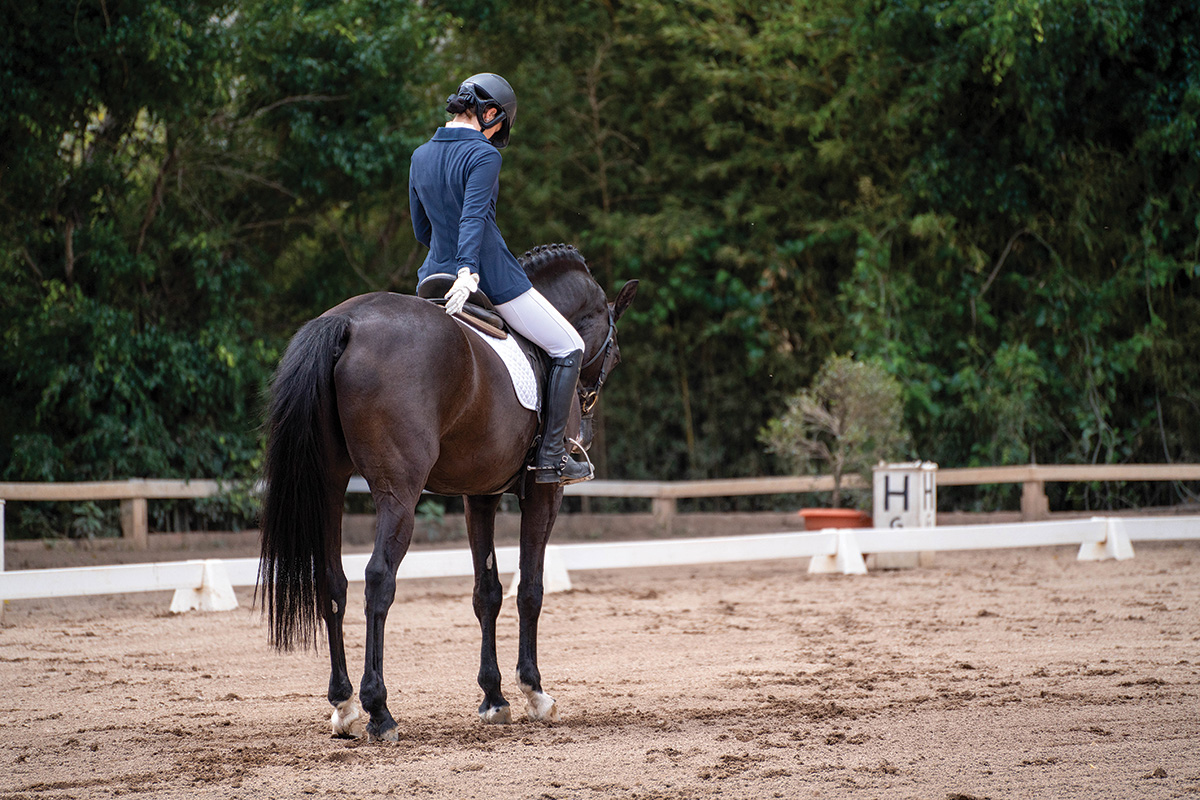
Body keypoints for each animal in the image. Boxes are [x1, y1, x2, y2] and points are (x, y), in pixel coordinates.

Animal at [259, 244, 643, 743]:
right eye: (614, 352)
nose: (587, 431)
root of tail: (347, 322)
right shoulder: (545, 494)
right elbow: (530, 589)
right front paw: (535, 693)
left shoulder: (478, 494)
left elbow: (488, 592)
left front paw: (494, 698)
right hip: (398, 491)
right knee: (378, 579)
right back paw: (379, 711)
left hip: (328, 484)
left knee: (331, 582)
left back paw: (344, 706)